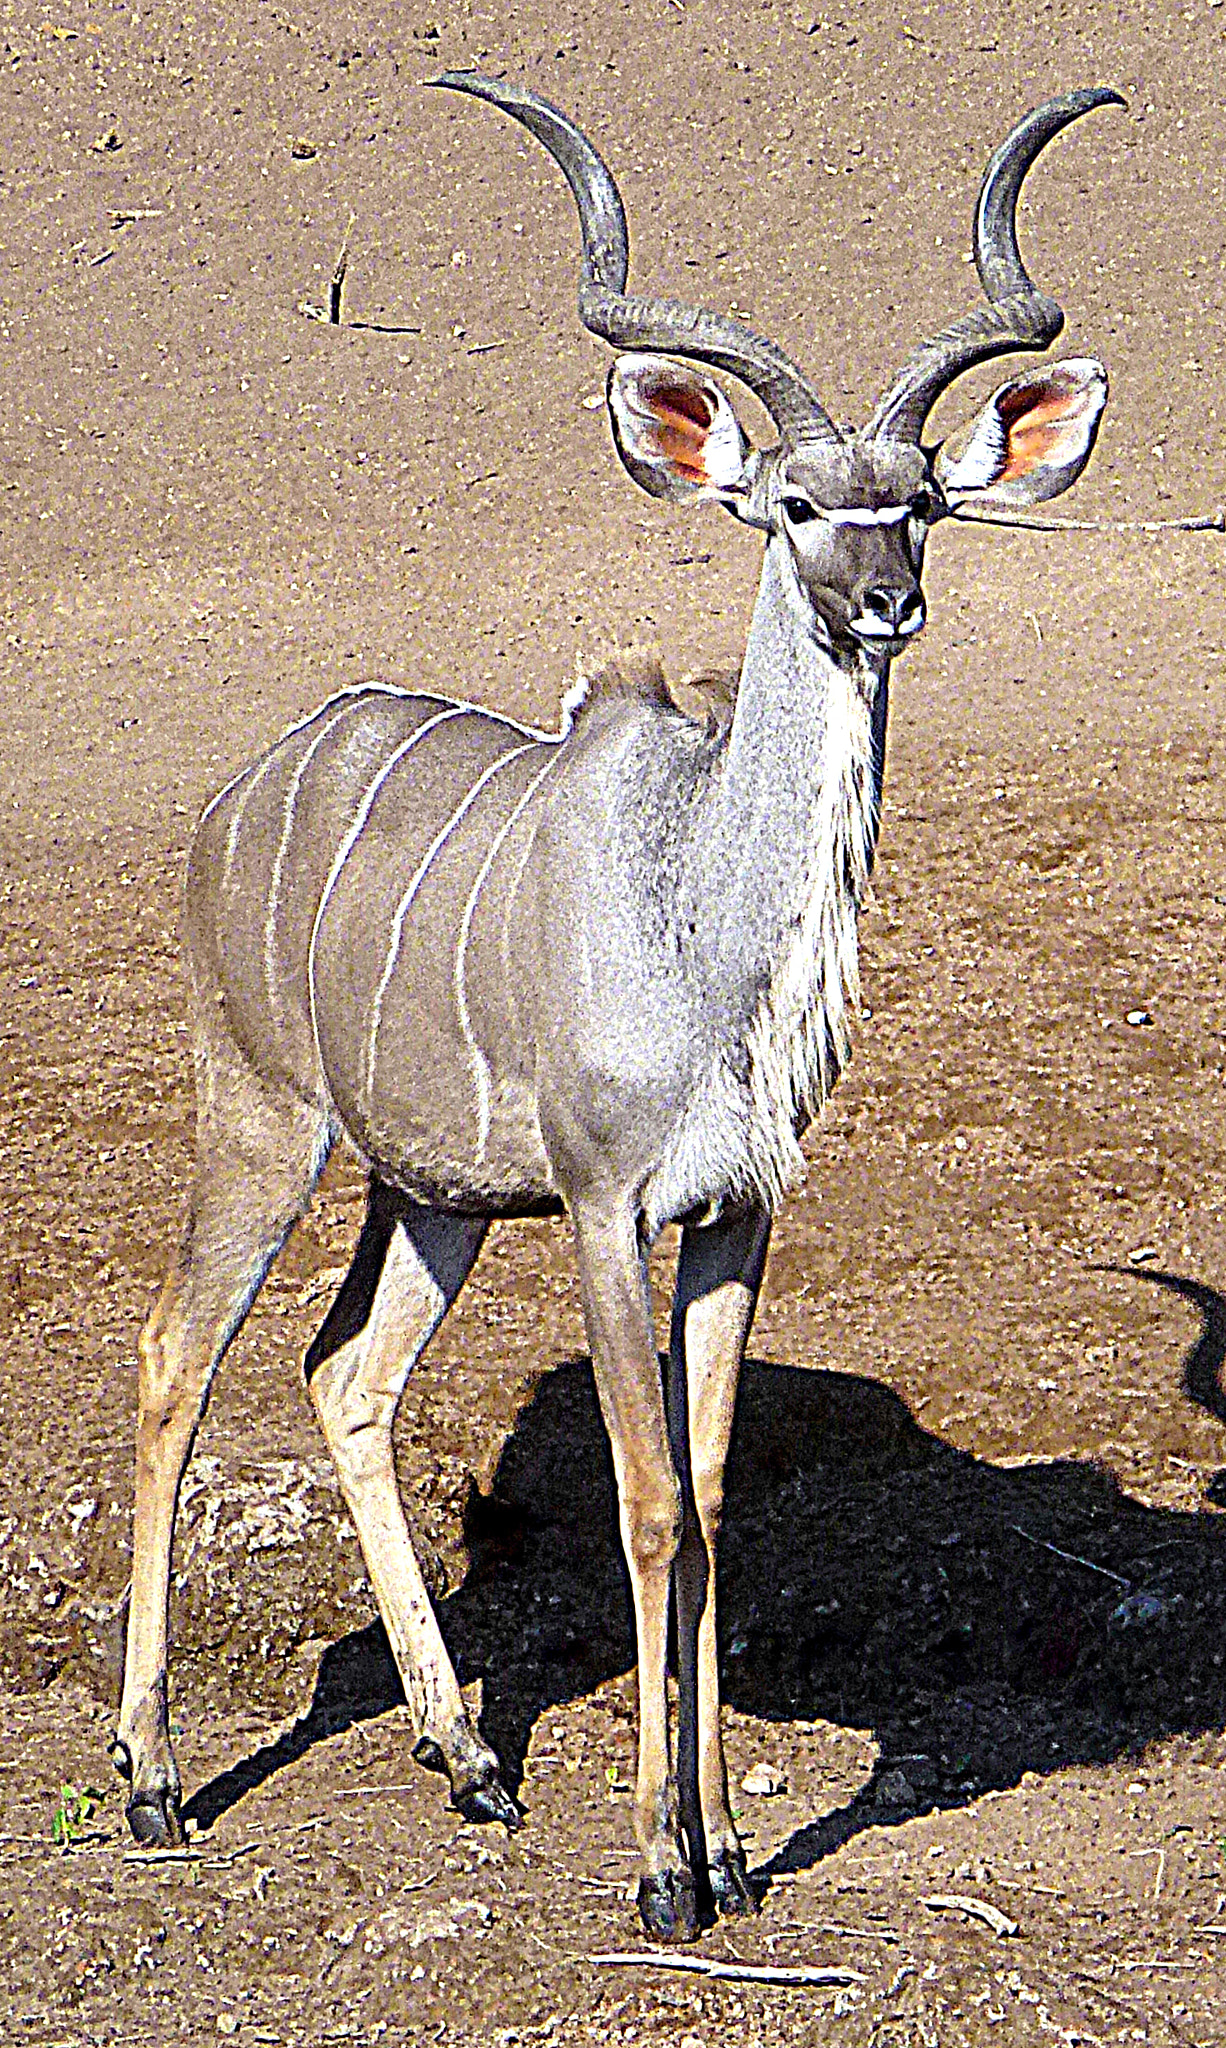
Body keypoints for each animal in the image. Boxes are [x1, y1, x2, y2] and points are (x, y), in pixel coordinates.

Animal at [115, 79, 1121, 1933]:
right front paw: (661, 1869)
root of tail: (242, 792)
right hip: (267, 1127)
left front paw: (723, 1844)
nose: (886, 603)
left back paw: (467, 1757)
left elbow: (716, 1501)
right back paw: (152, 1777)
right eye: (790, 504)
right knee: (175, 1355)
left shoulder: (736, 1220)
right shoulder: (602, 1211)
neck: (702, 936)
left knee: (344, 1370)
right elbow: (650, 1502)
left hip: (429, 1198)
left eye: (921, 504)